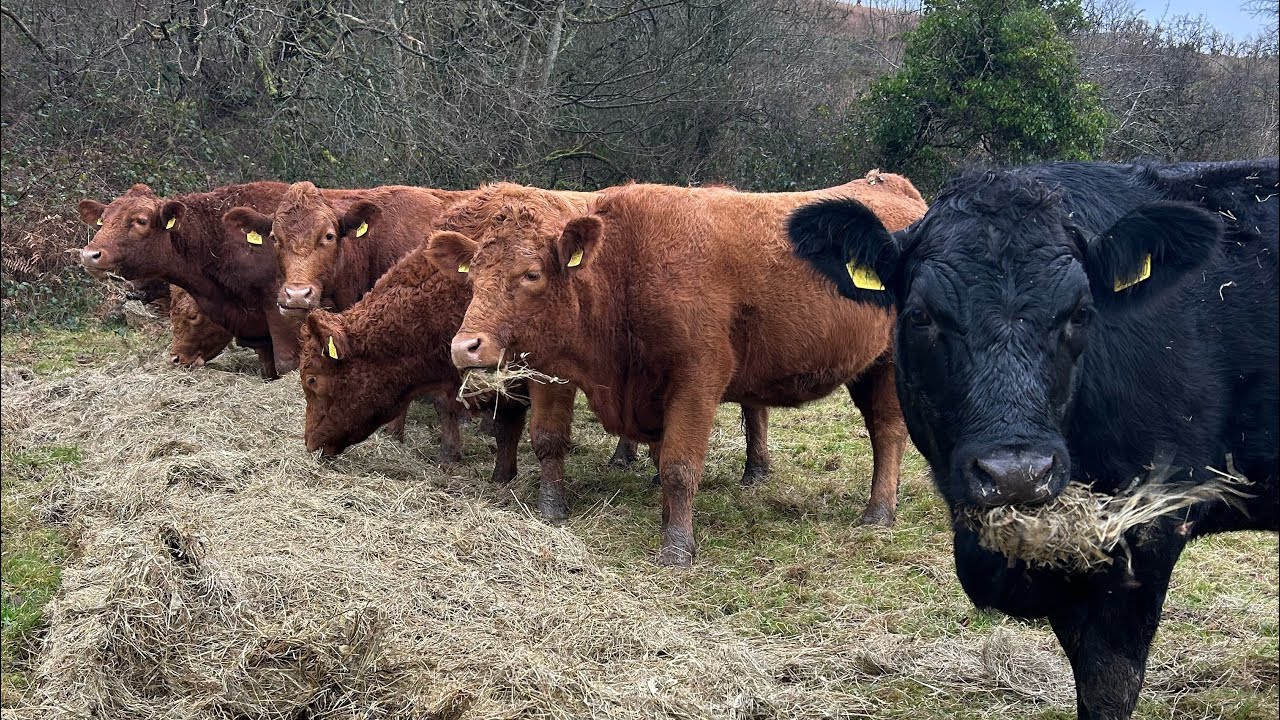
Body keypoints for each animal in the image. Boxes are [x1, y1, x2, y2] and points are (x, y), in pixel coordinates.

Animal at [430, 174, 929, 566]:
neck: (624, 271)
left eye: (531, 274)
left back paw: (879, 512)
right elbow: (550, 441)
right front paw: (551, 512)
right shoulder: (554, 370)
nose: (465, 346)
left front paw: (676, 547)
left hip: (888, 366)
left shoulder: (697, 380)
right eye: (473, 276)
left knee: (888, 431)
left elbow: (678, 466)